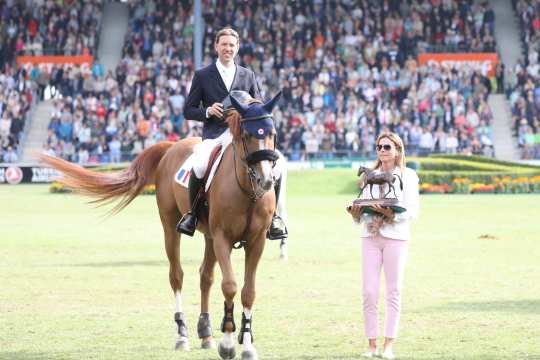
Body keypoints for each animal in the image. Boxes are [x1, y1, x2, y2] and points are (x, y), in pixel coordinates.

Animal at [40, 93, 280, 360]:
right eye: (247, 135)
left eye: (272, 133)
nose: (266, 180)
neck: (247, 190)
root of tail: (171, 147)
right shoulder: (222, 238)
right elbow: (229, 286)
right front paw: (227, 344)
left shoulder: (257, 241)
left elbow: (249, 291)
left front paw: (247, 345)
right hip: (171, 226)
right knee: (177, 276)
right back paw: (182, 336)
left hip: (208, 237)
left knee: (205, 276)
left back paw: (205, 333)